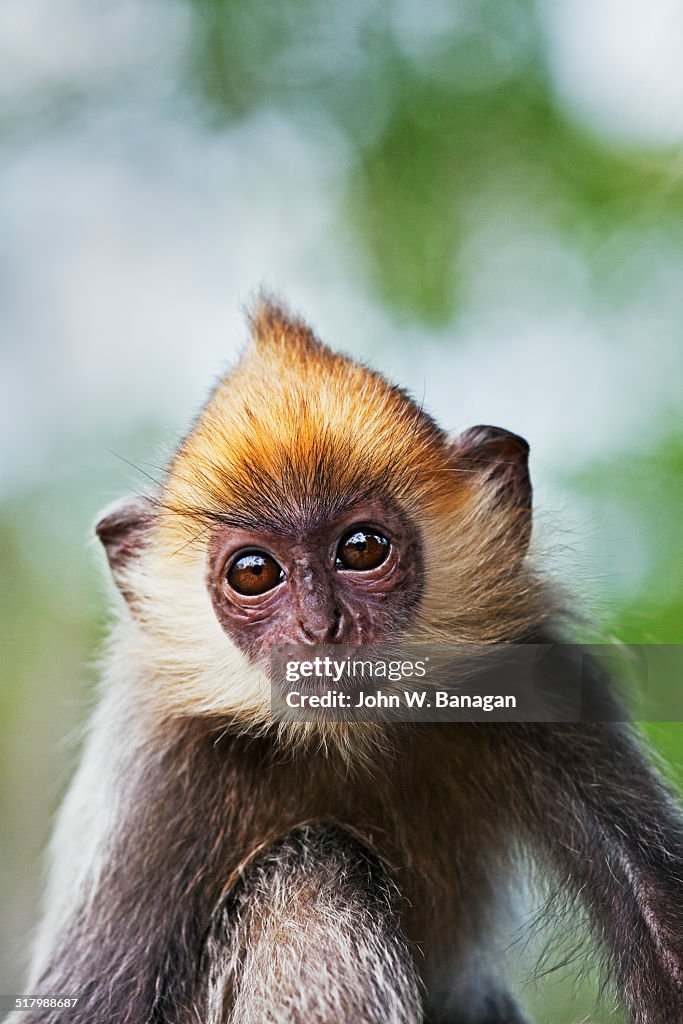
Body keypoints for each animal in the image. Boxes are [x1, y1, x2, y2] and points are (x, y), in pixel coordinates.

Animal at [9, 299, 683, 1024]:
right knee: (316, 865)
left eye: (361, 549)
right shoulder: (164, 776)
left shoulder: (537, 677)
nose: (320, 627)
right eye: (254, 572)